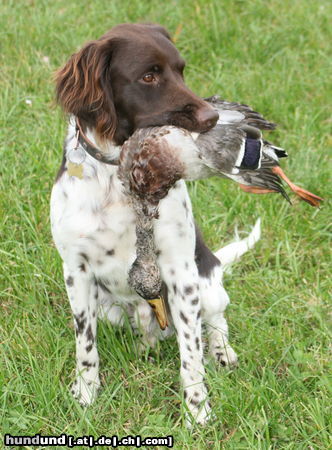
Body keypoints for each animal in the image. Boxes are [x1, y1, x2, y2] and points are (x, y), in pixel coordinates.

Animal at [50, 23, 260, 426]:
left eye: (181, 70)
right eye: (149, 76)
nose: (213, 117)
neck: (120, 177)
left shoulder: (180, 271)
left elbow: (192, 355)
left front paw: (197, 412)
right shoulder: (76, 271)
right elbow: (85, 345)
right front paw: (85, 395)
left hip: (206, 284)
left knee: (216, 320)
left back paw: (222, 352)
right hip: (111, 309)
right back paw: (145, 347)